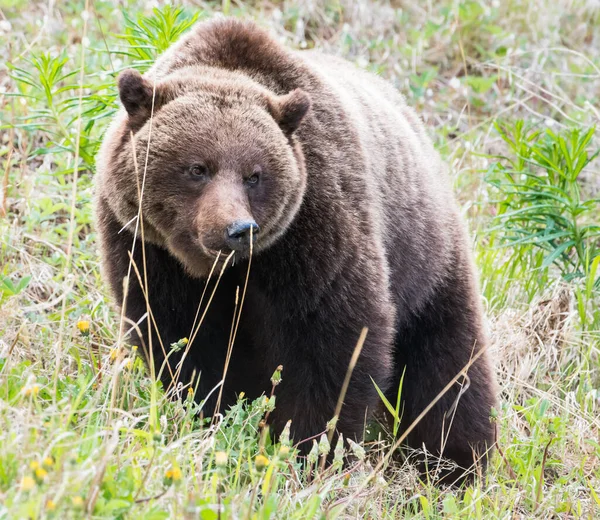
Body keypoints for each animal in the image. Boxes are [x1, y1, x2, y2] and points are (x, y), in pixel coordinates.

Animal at [95, 16, 496, 482]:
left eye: (254, 174)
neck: (227, 270)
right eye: (197, 168)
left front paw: (307, 447)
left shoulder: (314, 232)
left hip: (425, 256)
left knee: (449, 367)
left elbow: (332, 343)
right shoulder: (145, 248)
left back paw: (457, 463)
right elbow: (182, 339)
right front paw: (215, 415)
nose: (238, 229)